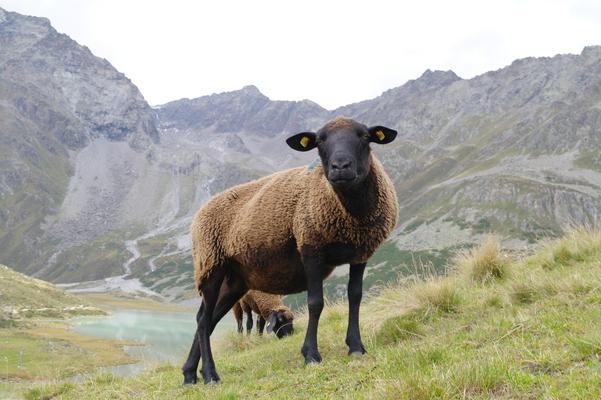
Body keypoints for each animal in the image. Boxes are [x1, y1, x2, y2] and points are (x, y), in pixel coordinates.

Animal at [183, 115, 398, 384]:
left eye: (365, 136)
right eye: (319, 141)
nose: (340, 167)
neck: (350, 213)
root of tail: (200, 212)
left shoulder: (360, 255)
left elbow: (355, 297)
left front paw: (356, 347)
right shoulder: (311, 248)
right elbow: (315, 303)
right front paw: (311, 355)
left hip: (235, 281)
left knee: (207, 318)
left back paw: (190, 374)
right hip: (211, 264)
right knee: (203, 321)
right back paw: (210, 374)